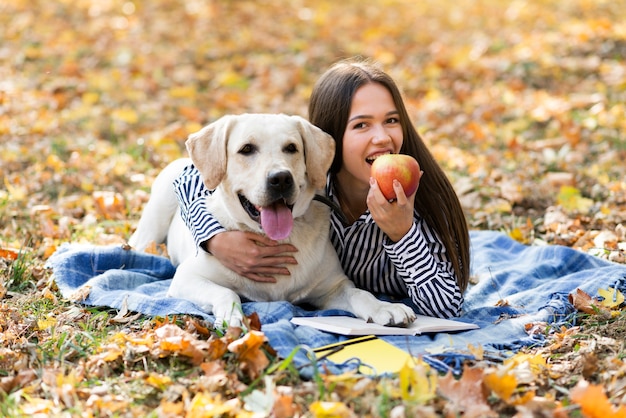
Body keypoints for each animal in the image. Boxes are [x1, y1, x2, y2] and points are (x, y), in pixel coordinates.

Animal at [129, 112, 416, 328]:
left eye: (291, 148)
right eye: (246, 149)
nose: (280, 178)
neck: (274, 239)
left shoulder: (331, 285)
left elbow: (359, 292)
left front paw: (384, 307)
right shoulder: (187, 277)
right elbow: (225, 291)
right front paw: (233, 316)